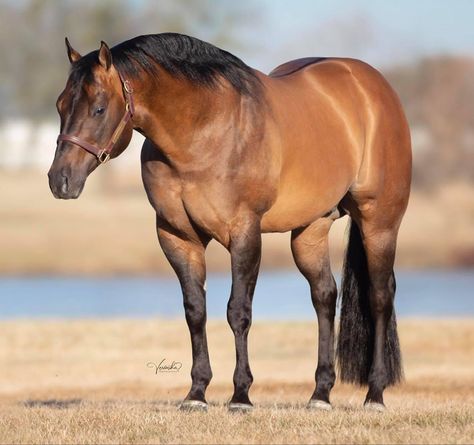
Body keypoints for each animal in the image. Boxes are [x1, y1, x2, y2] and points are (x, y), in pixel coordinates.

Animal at [47, 33, 412, 412]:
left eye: (99, 108)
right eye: (60, 105)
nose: (60, 180)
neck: (203, 132)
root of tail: (372, 85)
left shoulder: (244, 232)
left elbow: (238, 311)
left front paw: (240, 395)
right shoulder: (177, 236)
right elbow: (195, 310)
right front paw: (196, 393)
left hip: (380, 223)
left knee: (379, 297)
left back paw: (375, 394)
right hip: (310, 231)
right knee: (324, 296)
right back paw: (320, 394)